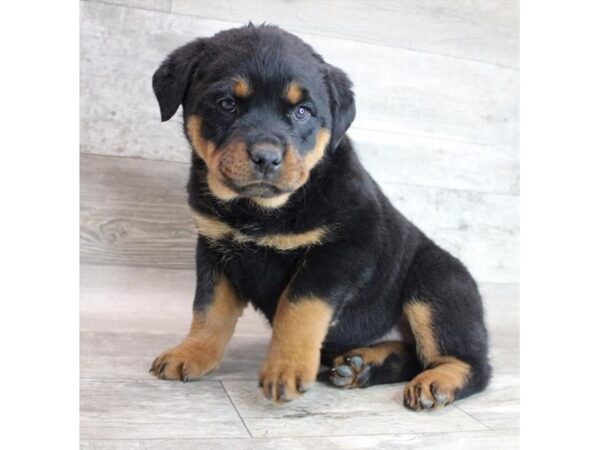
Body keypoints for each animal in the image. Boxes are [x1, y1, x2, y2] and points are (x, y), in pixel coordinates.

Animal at [148, 25, 490, 412]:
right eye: (227, 104)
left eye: (302, 112)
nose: (266, 157)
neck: (259, 209)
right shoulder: (213, 249)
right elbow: (207, 311)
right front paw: (190, 354)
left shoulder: (342, 249)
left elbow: (298, 307)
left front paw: (285, 369)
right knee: (413, 356)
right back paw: (362, 365)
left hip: (436, 286)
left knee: (469, 364)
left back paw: (436, 382)